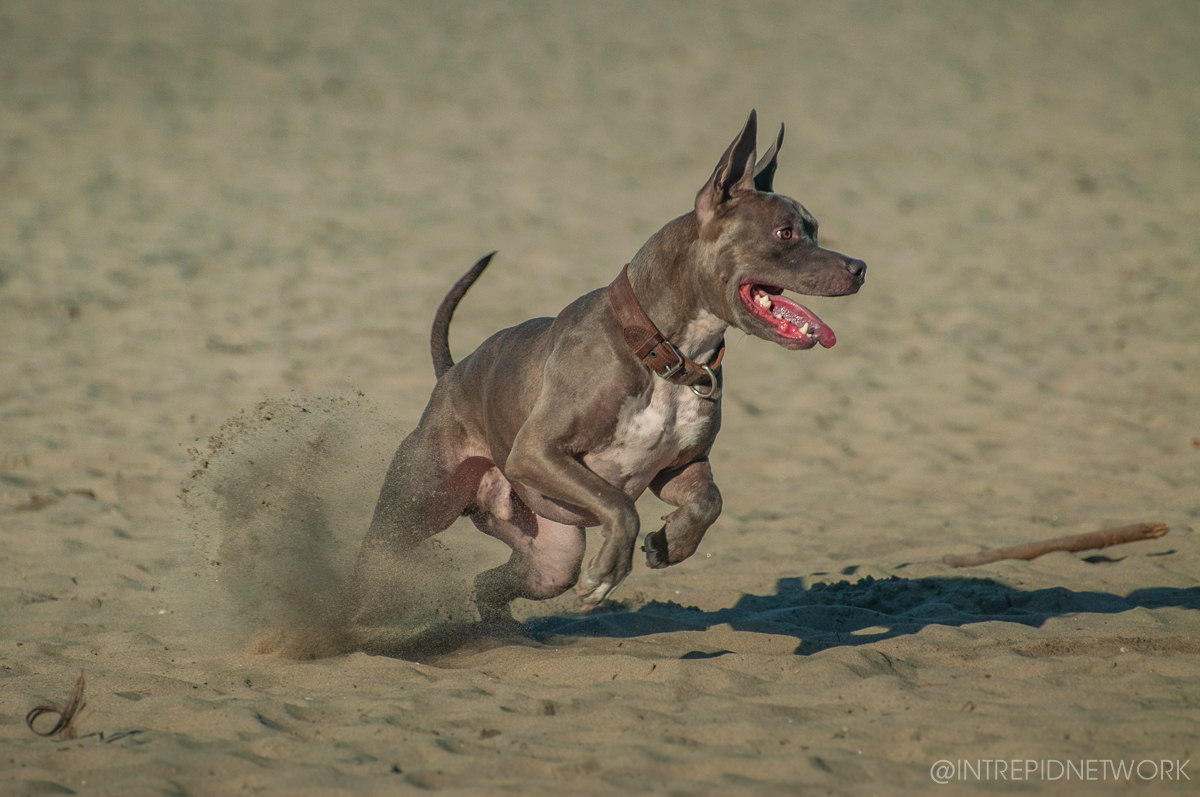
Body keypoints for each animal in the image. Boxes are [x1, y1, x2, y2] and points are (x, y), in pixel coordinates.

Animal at [352, 110, 864, 624]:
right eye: (785, 233)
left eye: (814, 229)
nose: (859, 267)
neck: (665, 355)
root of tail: (451, 374)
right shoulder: (537, 452)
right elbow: (619, 504)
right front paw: (608, 570)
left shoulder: (681, 467)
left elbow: (709, 502)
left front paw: (671, 542)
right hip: (417, 505)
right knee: (375, 557)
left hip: (548, 555)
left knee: (496, 581)